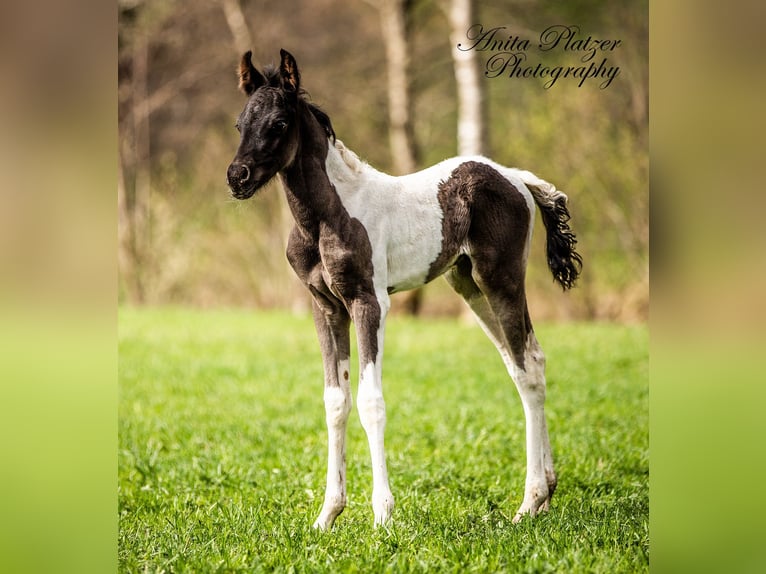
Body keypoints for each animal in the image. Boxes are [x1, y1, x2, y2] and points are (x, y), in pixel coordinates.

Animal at [226, 49, 582, 530]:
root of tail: (515, 178)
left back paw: (529, 501)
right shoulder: (326, 307)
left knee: (528, 370)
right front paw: (327, 516)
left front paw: (382, 515)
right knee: (525, 361)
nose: (237, 176)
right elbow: (335, 401)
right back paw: (546, 493)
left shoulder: (369, 303)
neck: (326, 217)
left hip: (501, 280)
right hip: (469, 286)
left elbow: (370, 401)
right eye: (240, 123)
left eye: (279, 123)